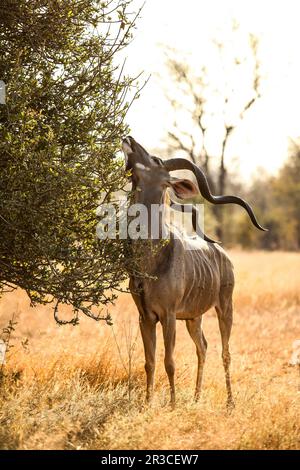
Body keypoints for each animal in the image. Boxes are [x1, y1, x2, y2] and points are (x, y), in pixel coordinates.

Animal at [122, 136, 268, 408]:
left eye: (155, 159)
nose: (129, 139)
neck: (151, 258)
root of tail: (222, 254)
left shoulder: (168, 315)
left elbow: (169, 362)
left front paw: (172, 404)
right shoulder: (145, 317)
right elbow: (149, 362)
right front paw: (148, 403)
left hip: (225, 308)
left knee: (225, 352)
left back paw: (230, 402)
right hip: (193, 318)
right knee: (203, 346)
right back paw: (197, 397)